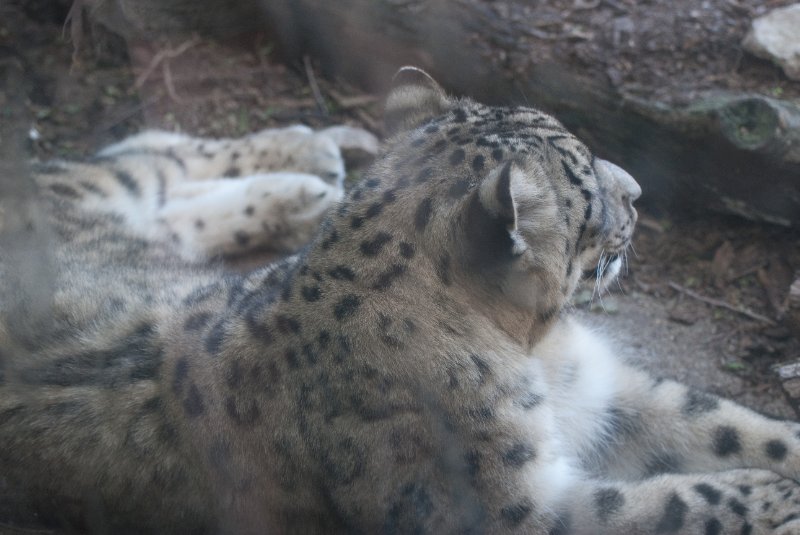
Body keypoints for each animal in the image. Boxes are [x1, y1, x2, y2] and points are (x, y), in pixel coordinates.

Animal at [2, 66, 800, 534]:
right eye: (587, 194)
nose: (636, 191)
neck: (536, 352)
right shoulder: (504, 511)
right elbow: (673, 502)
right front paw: (774, 497)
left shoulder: (606, 392)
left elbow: (727, 424)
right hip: (98, 192)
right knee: (138, 153)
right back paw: (305, 164)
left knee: (154, 157)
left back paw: (306, 168)